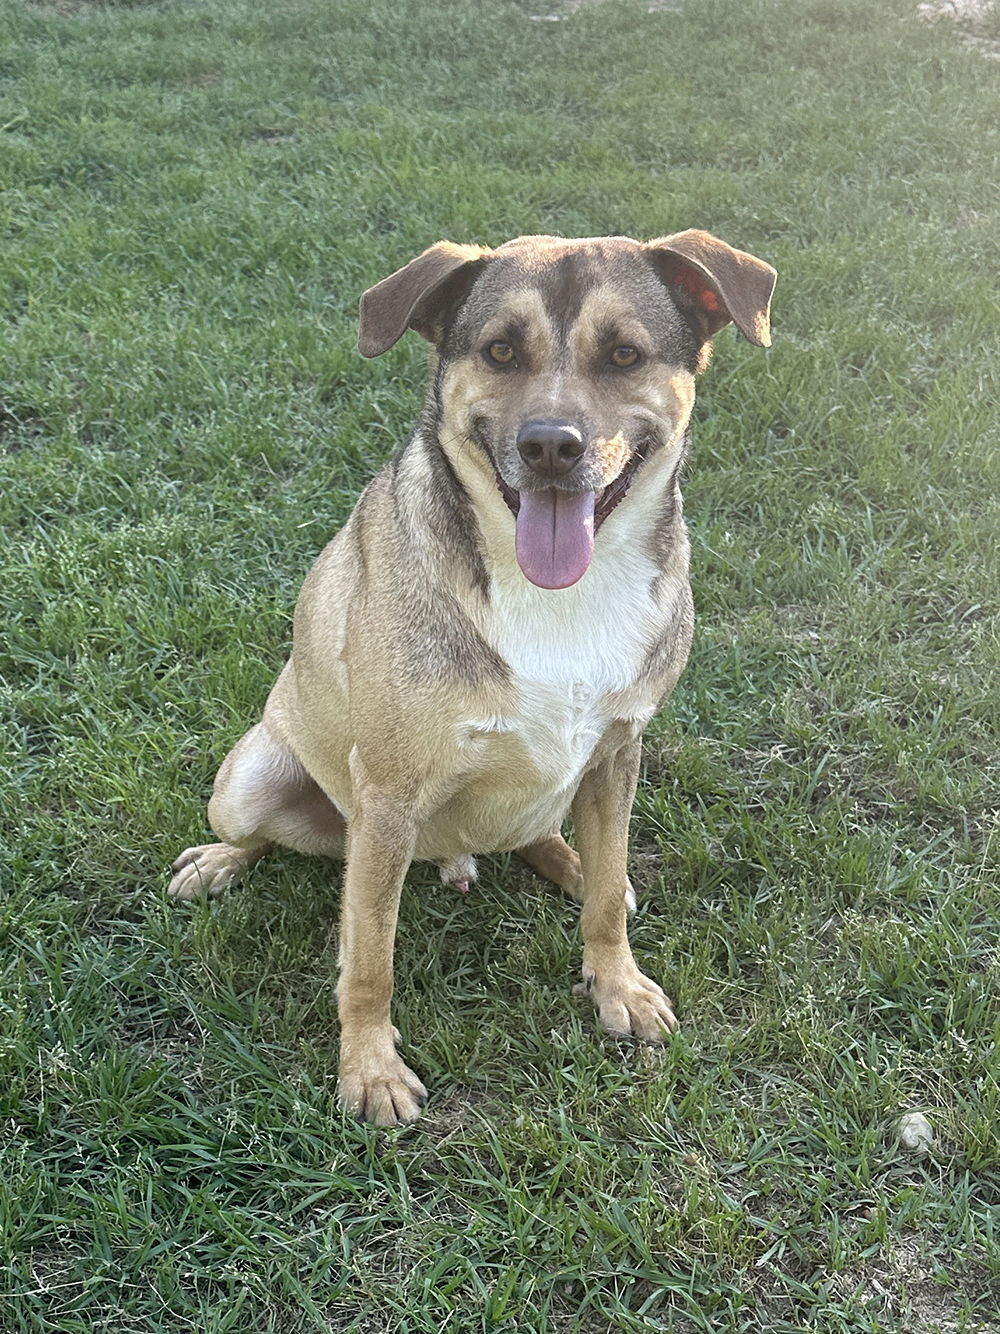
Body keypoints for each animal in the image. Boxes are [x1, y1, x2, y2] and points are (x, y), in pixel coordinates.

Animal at [168, 232, 778, 1125]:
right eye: (499, 351)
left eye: (625, 354)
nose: (550, 445)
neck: (558, 594)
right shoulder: (388, 794)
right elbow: (369, 960)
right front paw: (370, 1069)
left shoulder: (619, 749)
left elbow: (605, 900)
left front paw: (617, 984)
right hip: (252, 781)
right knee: (259, 836)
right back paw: (217, 863)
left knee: (556, 842)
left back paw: (573, 862)